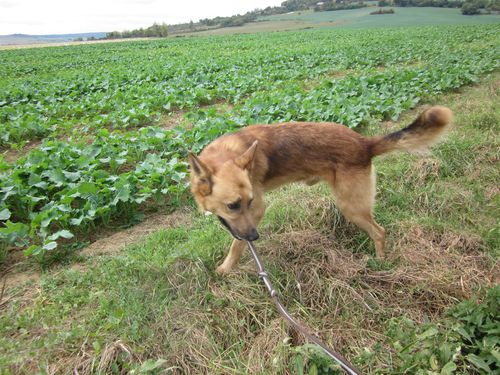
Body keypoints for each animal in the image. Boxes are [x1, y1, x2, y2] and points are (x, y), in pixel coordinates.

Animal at [188, 107, 454, 274]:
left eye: (250, 202)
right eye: (233, 205)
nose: (255, 237)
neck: (224, 154)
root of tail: (364, 143)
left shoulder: (257, 212)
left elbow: (236, 246)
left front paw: (225, 269)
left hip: (351, 207)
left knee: (379, 232)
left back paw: (380, 264)